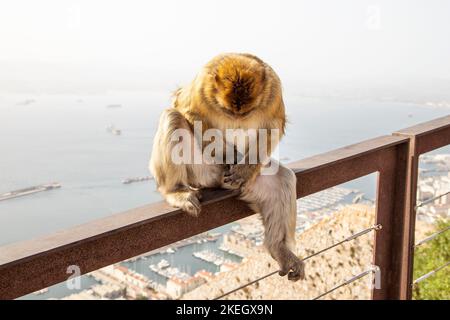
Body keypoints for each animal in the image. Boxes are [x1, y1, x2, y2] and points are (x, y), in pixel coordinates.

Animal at [151, 52, 306, 280]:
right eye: (227, 110)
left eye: (247, 112)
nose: (238, 118)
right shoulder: (200, 87)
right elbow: (188, 112)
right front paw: (230, 154)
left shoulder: (274, 90)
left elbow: (273, 124)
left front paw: (244, 169)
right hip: (203, 171)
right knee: (173, 117)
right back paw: (175, 190)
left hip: (253, 180)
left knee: (283, 180)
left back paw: (280, 249)